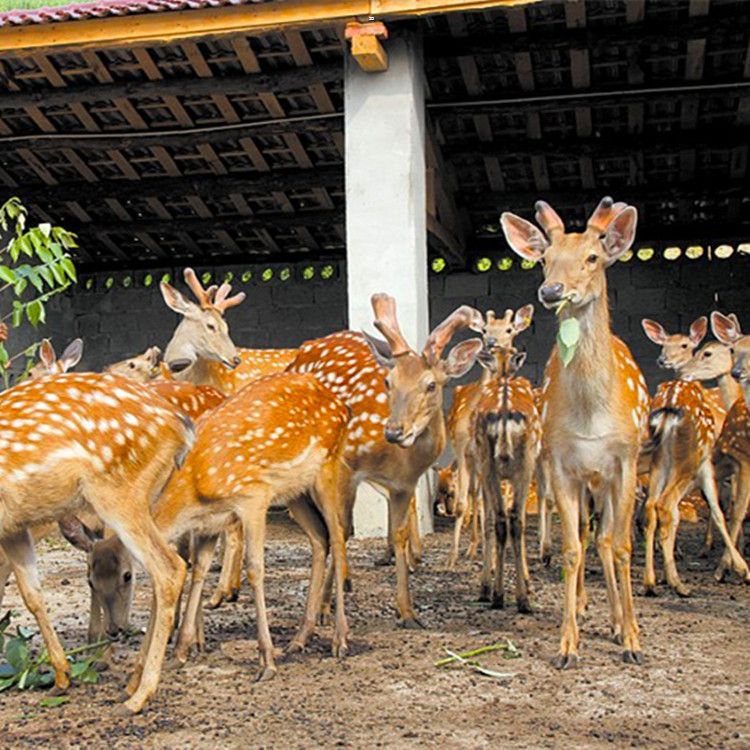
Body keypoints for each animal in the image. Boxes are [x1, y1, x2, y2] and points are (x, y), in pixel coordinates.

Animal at [284, 296, 484, 632]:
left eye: (431, 385)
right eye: (388, 381)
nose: (393, 431)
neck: (398, 460)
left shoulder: (404, 484)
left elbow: (399, 533)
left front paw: (407, 611)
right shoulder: (346, 466)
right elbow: (340, 531)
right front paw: (324, 608)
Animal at [446, 306, 536, 568]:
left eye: (509, 329)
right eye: (484, 329)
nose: (491, 343)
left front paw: (494, 559)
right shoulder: (461, 450)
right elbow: (461, 505)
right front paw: (451, 558)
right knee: (474, 496)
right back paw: (471, 548)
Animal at [506, 197, 652, 668]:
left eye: (592, 258)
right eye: (545, 260)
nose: (552, 291)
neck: (591, 418)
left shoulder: (625, 460)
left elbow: (622, 546)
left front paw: (632, 639)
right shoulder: (560, 464)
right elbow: (572, 548)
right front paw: (567, 645)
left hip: (607, 476)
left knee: (606, 540)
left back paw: (619, 621)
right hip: (587, 478)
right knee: (591, 536)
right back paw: (592, 609)